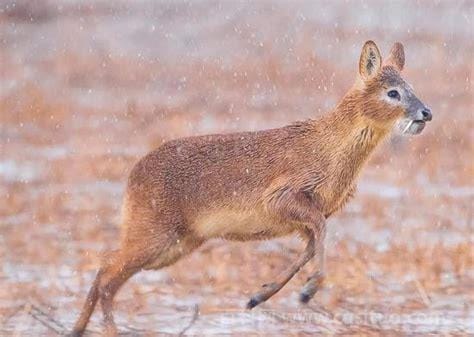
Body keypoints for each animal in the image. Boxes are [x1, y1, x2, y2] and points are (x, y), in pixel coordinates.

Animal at [71, 40, 434, 334]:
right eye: (392, 92)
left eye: (411, 86)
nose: (426, 112)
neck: (329, 151)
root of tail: (132, 176)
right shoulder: (282, 197)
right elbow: (318, 236)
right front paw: (307, 291)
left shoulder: (308, 216)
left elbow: (309, 247)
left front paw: (260, 296)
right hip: (155, 233)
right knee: (108, 276)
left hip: (177, 243)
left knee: (105, 267)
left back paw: (78, 328)